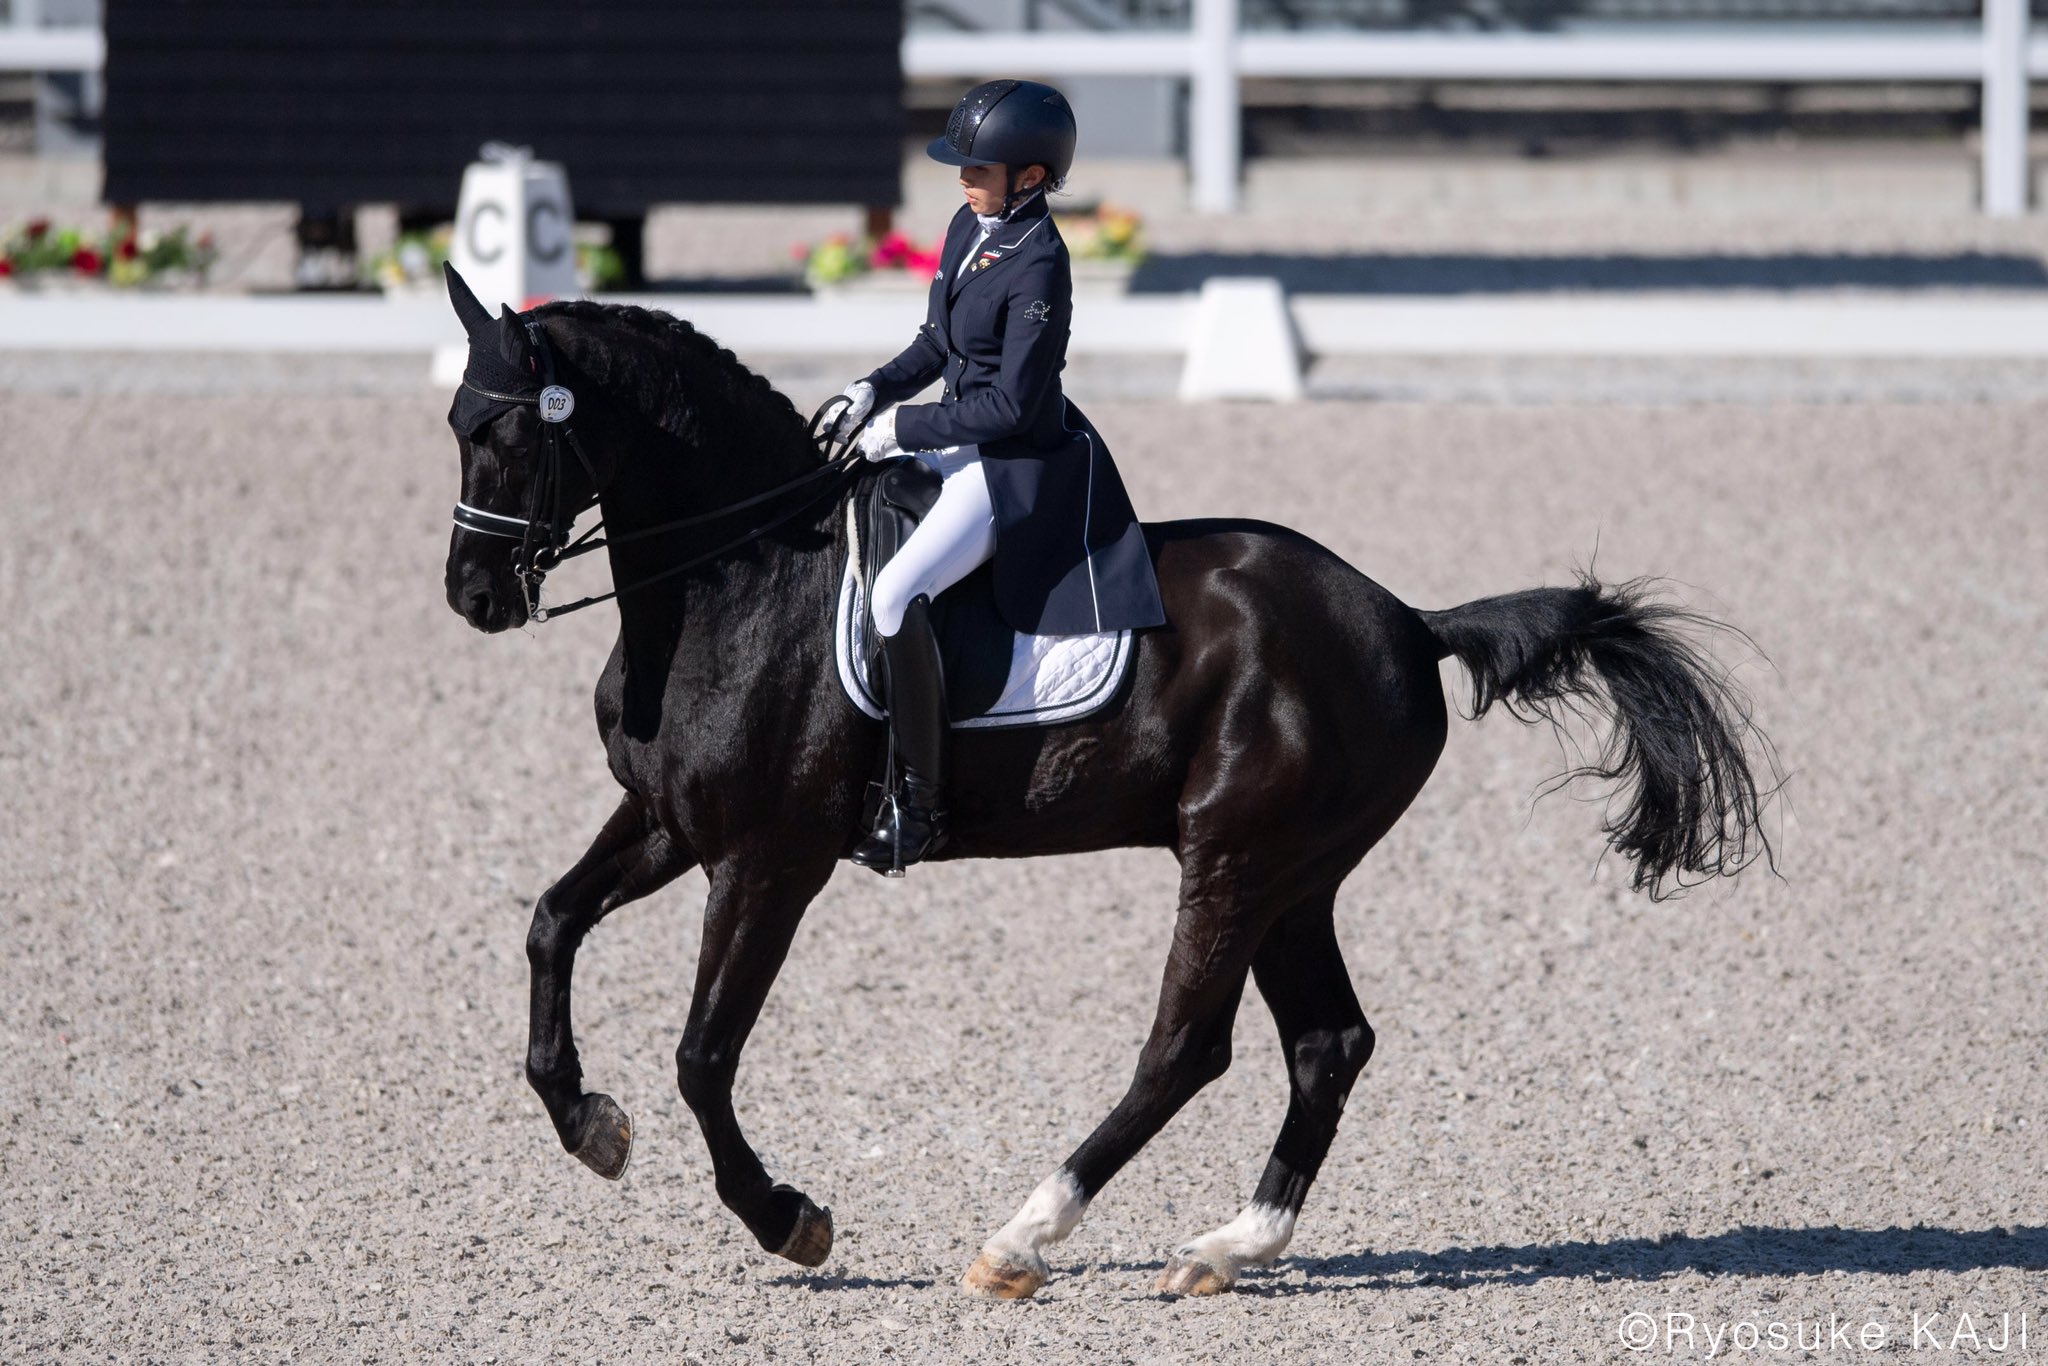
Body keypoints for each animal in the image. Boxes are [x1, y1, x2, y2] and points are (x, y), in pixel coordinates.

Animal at [438, 280, 1775, 1300]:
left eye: (509, 435)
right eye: (455, 421)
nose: (473, 597)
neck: (741, 579)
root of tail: (1403, 618)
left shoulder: (770, 859)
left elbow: (703, 1054)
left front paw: (788, 1218)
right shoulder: (670, 821)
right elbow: (550, 923)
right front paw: (589, 1125)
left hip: (1234, 857)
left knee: (1184, 1045)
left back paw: (1021, 1240)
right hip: (1294, 876)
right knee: (1327, 1043)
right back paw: (1228, 1247)